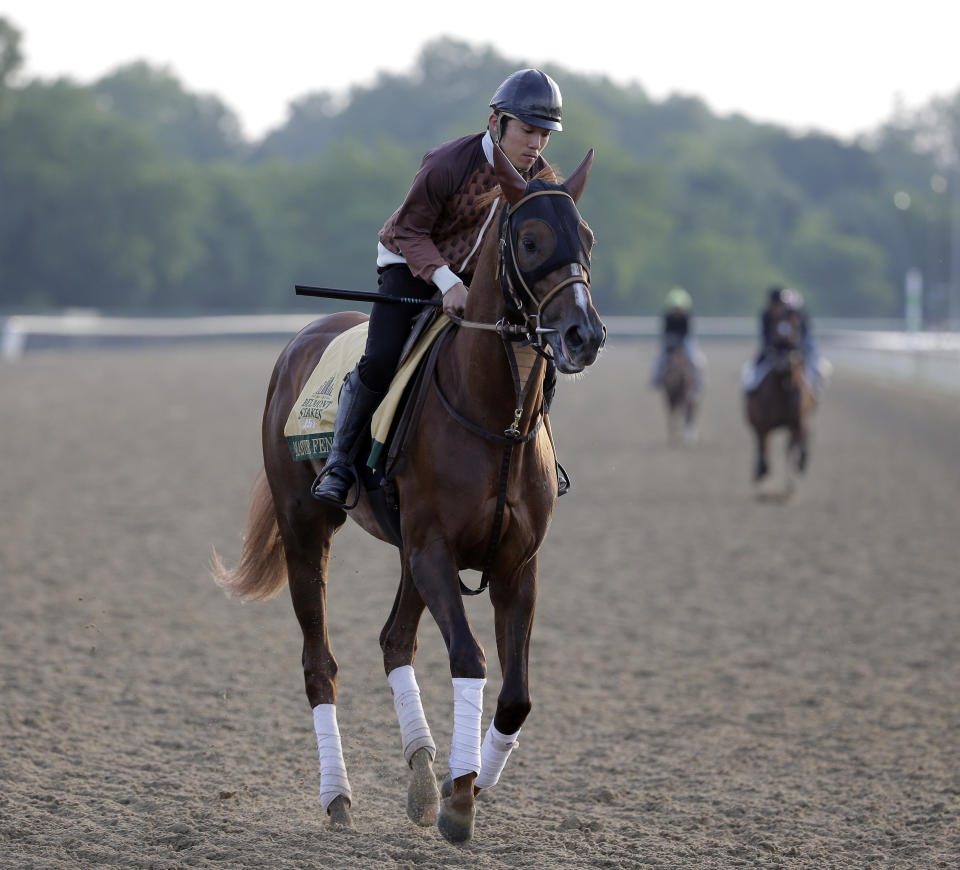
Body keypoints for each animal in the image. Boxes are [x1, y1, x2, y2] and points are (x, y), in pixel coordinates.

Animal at [214, 146, 604, 848]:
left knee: (395, 641)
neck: (495, 417)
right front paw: (460, 799)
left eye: (586, 237)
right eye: (531, 240)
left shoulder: (515, 564)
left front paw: (467, 781)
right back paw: (339, 796)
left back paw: (422, 774)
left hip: (405, 553)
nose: (584, 335)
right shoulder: (434, 551)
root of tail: (300, 339)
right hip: (306, 529)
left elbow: (516, 695)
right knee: (320, 664)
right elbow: (471, 660)